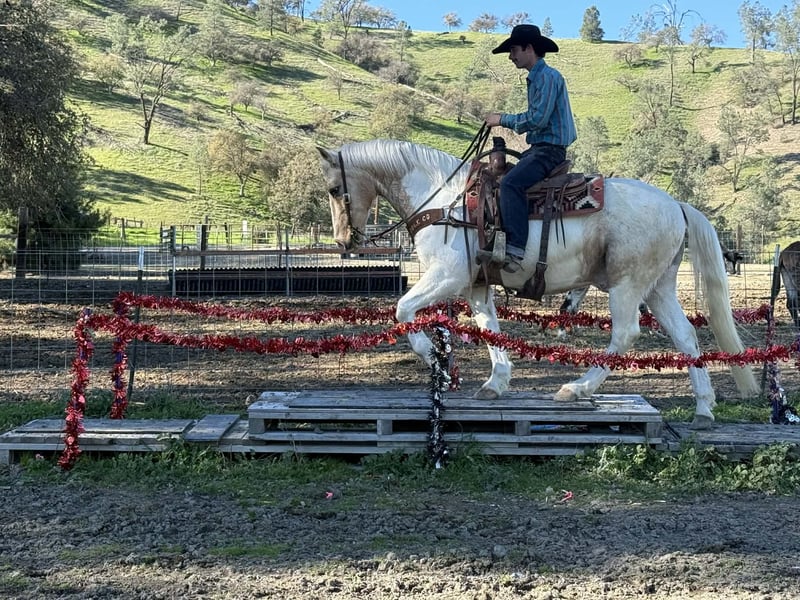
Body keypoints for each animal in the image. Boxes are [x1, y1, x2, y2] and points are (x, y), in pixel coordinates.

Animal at [318, 139, 759, 428]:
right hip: (659, 287)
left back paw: (576, 389)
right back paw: (703, 408)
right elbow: (490, 330)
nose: (343, 241)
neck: (444, 201)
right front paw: (495, 383)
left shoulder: (447, 275)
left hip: (627, 285)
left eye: (334, 189)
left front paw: (439, 365)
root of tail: (677, 205)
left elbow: (403, 309)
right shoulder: (476, 285)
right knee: (686, 336)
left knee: (626, 334)